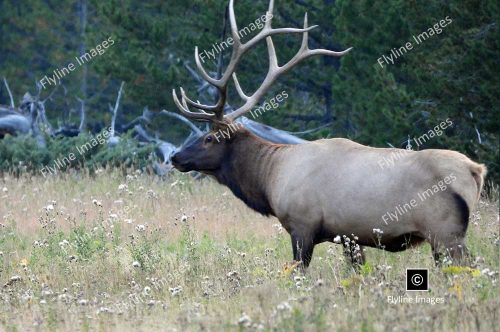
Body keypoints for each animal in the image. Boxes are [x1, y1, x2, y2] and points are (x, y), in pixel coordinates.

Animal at [170, 0, 486, 268]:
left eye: (209, 138)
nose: (175, 157)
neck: (271, 177)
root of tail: (475, 170)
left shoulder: (302, 225)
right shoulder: (350, 236)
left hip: (445, 230)